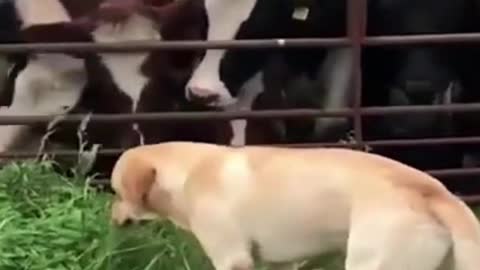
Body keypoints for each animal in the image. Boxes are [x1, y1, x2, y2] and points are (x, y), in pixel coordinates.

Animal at [109, 141, 480, 270]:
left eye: (116, 191)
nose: (110, 218)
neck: (189, 171)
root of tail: (432, 191)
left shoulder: (233, 259)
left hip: (372, 264)